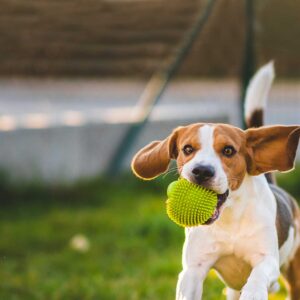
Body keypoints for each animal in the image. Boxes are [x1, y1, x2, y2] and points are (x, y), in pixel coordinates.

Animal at [131, 62, 300, 298]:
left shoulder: (267, 260)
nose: (202, 171)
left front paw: (254, 291)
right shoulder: (193, 270)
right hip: (232, 289)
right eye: (187, 149)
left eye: (228, 150)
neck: (230, 218)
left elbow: (258, 275)